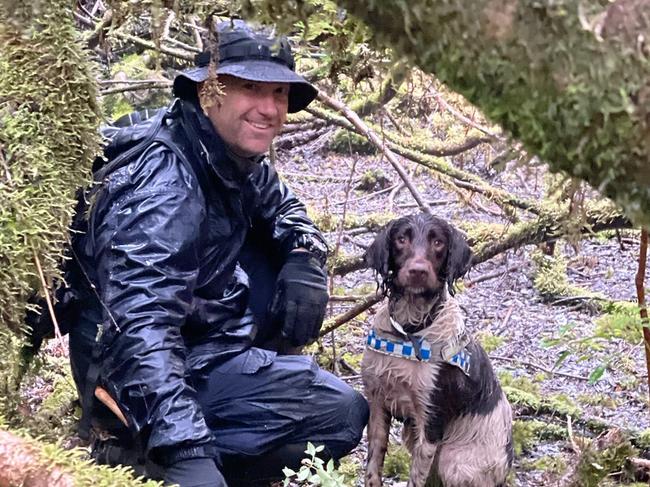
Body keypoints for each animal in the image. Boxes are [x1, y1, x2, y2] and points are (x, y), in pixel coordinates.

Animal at [360, 214, 512, 487]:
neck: (410, 331)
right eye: (401, 239)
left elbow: (416, 477)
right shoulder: (377, 403)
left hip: (455, 461)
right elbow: (373, 466)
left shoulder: (431, 422)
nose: (418, 271)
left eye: (438, 242)